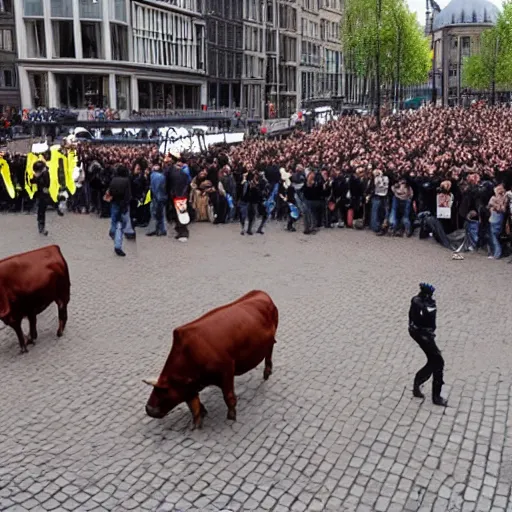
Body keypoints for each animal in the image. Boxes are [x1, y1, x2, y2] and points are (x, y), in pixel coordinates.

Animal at [142, 292, 278, 428]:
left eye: (163, 391)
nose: (148, 409)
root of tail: (261, 293)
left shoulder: (227, 369)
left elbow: (228, 396)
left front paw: (231, 417)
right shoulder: (189, 387)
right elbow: (193, 404)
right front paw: (198, 420)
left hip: (271, 339)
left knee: (269, 353)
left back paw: (267, 373)